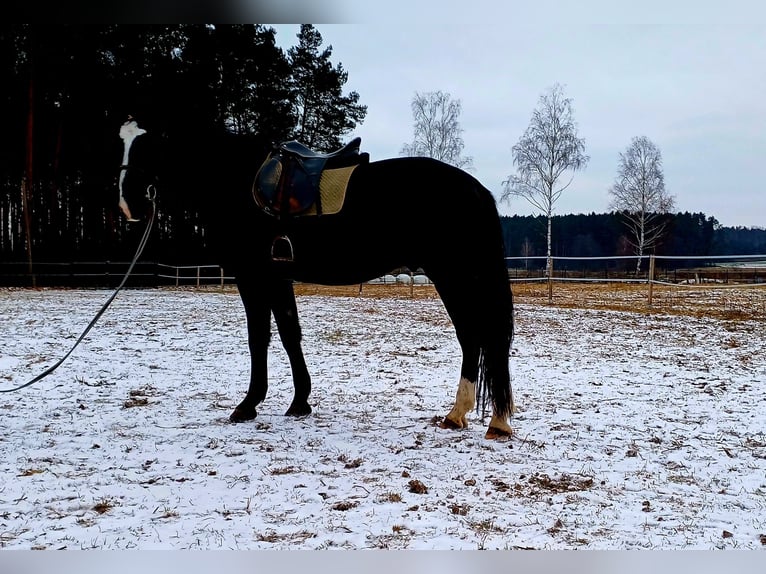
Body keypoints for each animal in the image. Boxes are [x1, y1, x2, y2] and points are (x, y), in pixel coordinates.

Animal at [118, 120, 516, 440]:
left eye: (149, 149)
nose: (127, 205)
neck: (235, 182)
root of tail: (475, 189)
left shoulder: (253, 275)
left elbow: (259, 337)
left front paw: (248, 404)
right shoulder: (278, 276)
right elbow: (289, 334)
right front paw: (299, 402)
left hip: (454, 275)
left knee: (473, 337)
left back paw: (471, 416)